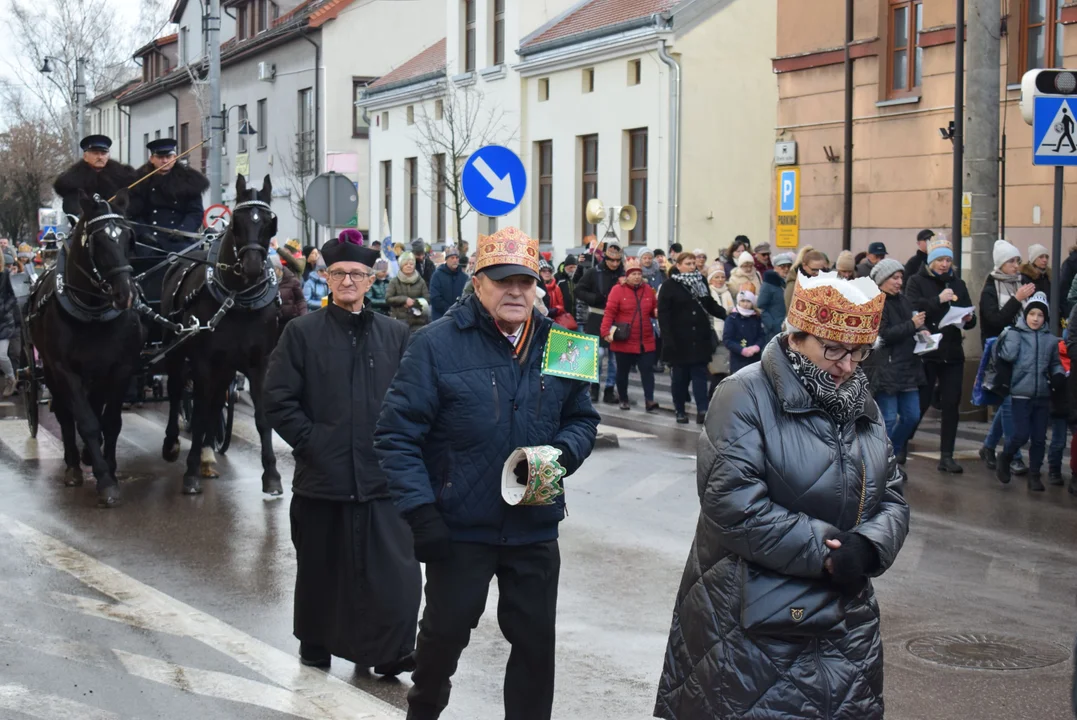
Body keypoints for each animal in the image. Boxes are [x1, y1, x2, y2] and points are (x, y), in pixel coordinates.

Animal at [26, 190, 143, 505]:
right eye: (98, 241)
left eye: (128, 237)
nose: (126, 294)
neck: (92, 314)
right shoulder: (65, 371)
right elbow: (87, 422)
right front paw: (104, 481)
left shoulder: (119, 368)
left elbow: (110, 421)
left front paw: (108, 466)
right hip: (50, 371)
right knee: (66, 415)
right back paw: (73, 467)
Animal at [160, 175, 282, 495]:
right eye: (237, 222)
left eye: (270, 223)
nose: (253, 266)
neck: (237, 300)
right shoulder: (204, 361)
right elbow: (200, 413)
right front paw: (190, 473)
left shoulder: (259, 363)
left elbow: (261, 418)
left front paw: (272, 474)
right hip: (175, 350)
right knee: (177, 392)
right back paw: (172, 444)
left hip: (226, 367)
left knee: (215, 402)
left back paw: (207, 456)